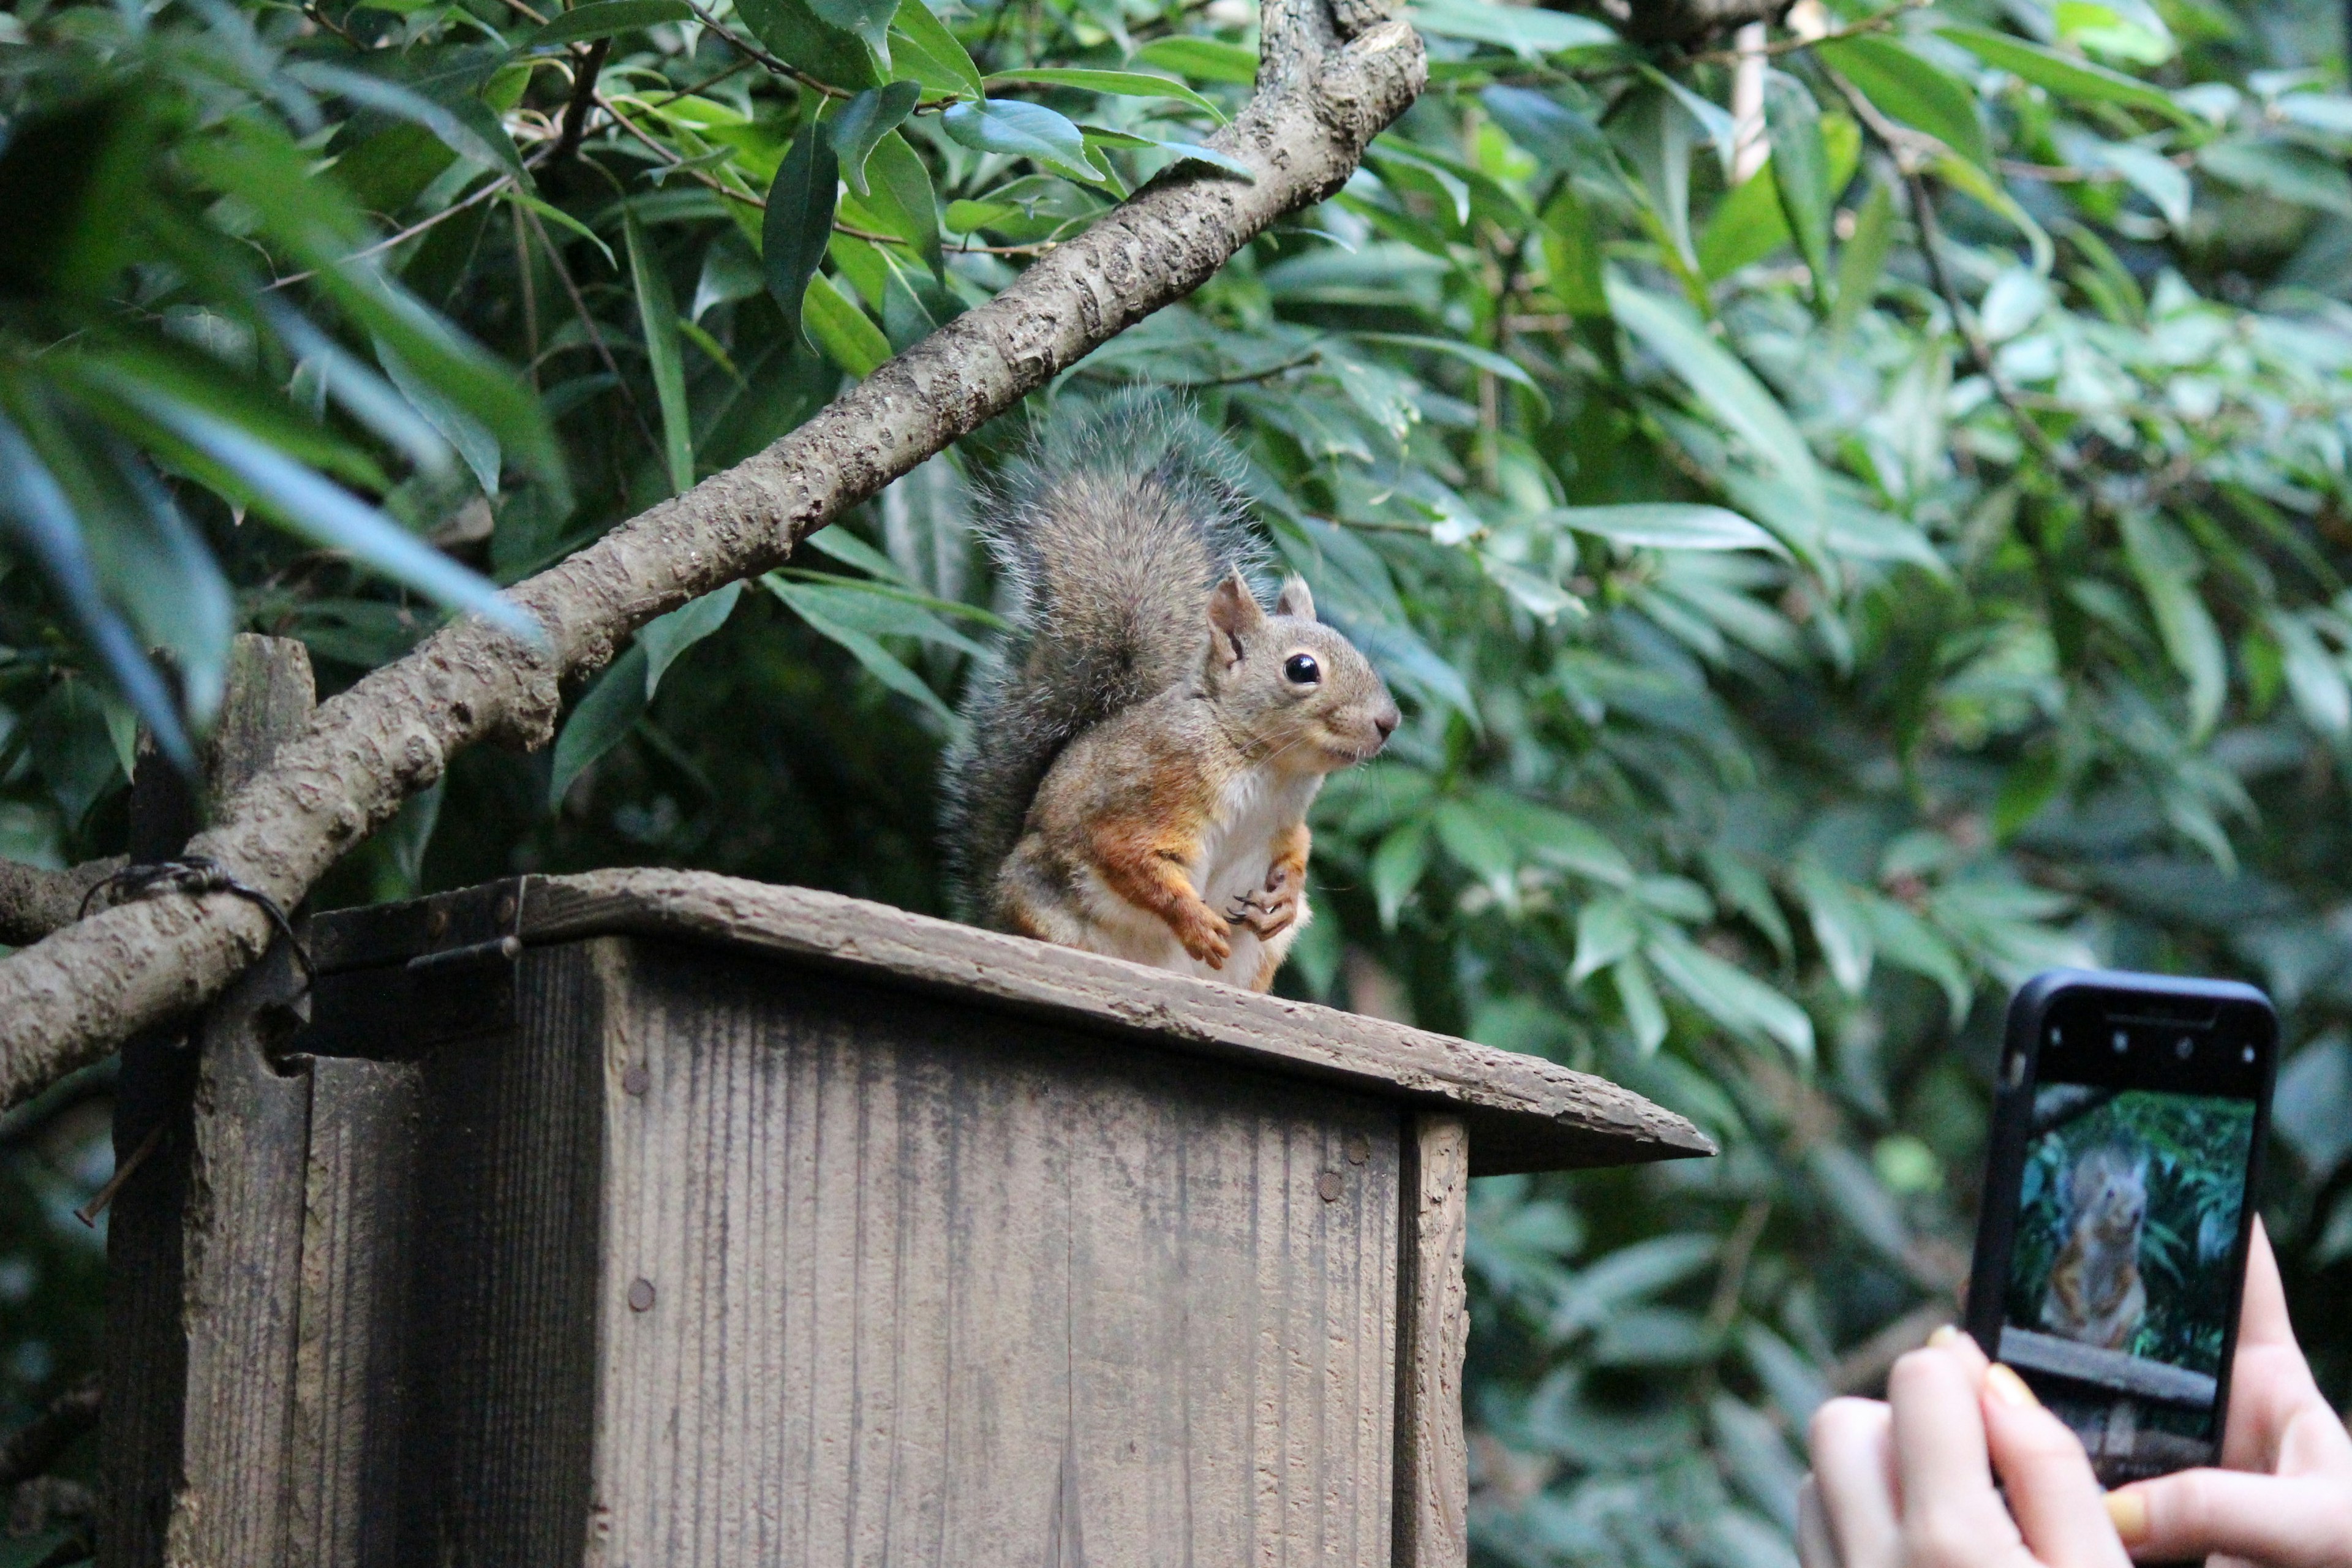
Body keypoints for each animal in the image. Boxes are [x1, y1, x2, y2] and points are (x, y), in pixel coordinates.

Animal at [945, 394, 1392, 992]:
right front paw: (1197, 924)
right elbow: (1131, 858)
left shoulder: (1287, 824)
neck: (1268, 768)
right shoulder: (1149, 791)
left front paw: (1284, 899)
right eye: (1302, 669)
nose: (1388, 722)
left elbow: (1299, 849)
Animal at [2041, 1147, 2154, 1354]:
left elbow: (2127, 1280)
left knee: (2118, 1335)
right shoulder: (2077, 1247)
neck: (2110, 1241)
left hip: (2131, 1317)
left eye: (2144, 1195)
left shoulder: (2129, 1260)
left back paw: (2116, 1349)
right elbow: (2062, 1276)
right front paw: (2080, 1312)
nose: (2136, 1214)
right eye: (2110, 1193)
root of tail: (2090, 1343)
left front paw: (2105, 1305)